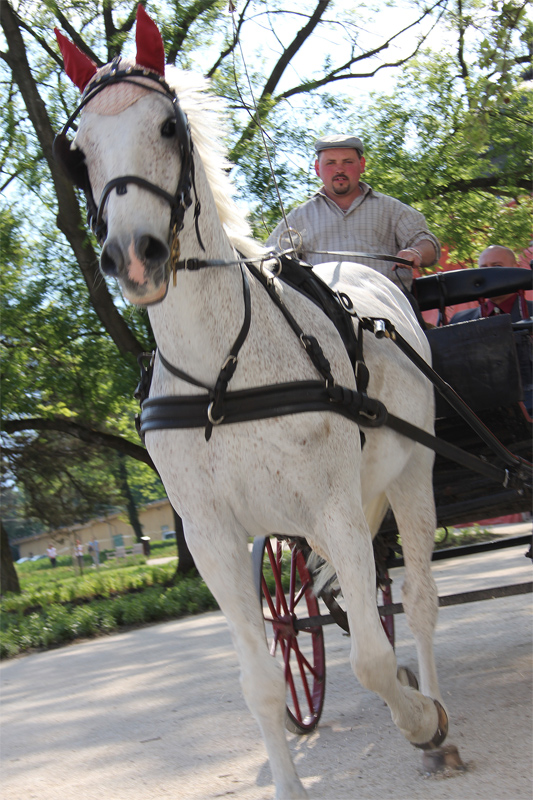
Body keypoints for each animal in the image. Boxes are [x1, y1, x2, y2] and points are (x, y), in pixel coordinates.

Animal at [55, 9, 444, 796]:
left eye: (168, 126)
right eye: (78, 153)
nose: (134, 256)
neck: (219, 379)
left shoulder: (331, 505)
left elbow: (369, 658)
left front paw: (418, 717)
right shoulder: (212, 536)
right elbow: (263, 682)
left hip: (411, 477)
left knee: (419, 601)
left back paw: (434, 712)